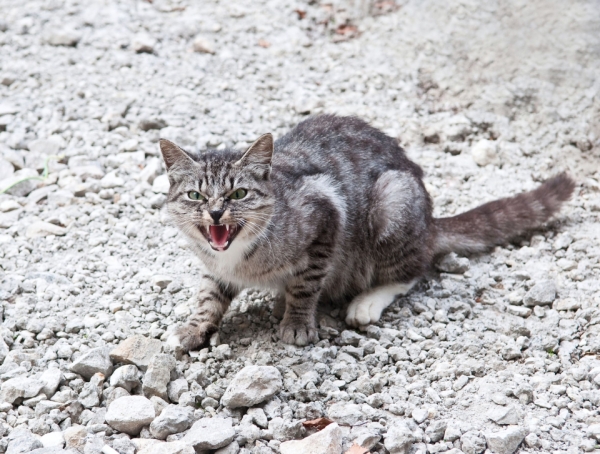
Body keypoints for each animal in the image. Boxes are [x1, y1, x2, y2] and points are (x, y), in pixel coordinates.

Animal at [159, 113, 576, 352]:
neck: (238, 256)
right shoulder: (215, 266)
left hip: (393, 202)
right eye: (196, 195)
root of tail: (430, 223)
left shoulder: (326, 214)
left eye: (239, 194)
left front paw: (297, 323)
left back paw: (365, 302)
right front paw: (195, 327)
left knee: (413, 270)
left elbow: (306, 284)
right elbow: (209, 295)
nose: (215, 212)